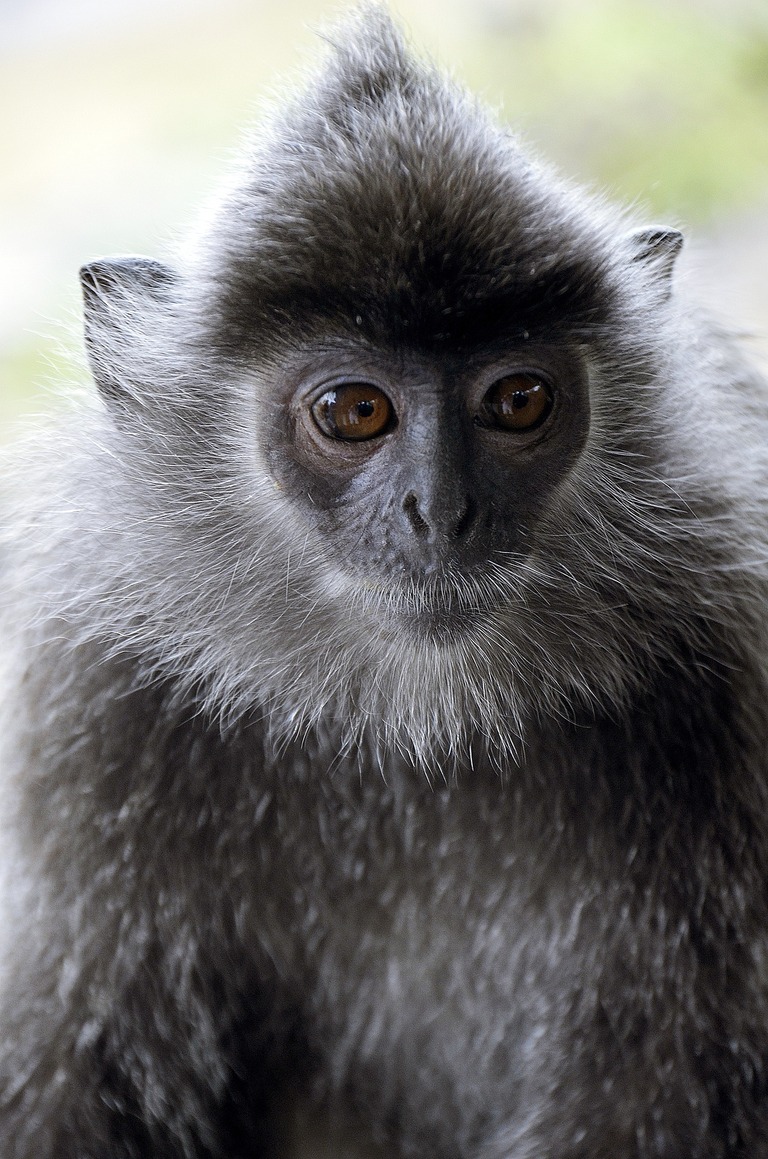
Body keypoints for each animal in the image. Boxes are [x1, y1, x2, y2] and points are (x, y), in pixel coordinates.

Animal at [1, 6, 768, 1158]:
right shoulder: (85, 710)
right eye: (354, 411)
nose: (439, 512)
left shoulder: (728, 673)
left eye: (519, 399)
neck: (410, 723)